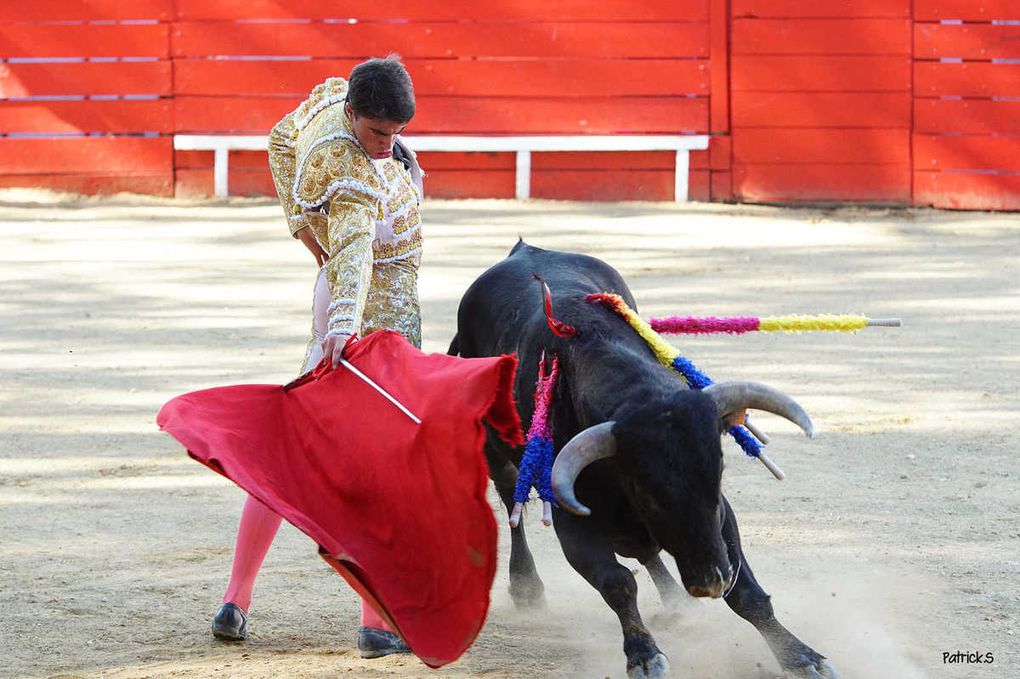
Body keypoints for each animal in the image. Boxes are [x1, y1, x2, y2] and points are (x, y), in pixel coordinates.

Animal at [448, 243, 836, 676]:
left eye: (718, 474)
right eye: (649, 493)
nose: (711, 581)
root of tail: (523, 249)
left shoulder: (720, 516)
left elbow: (747, 593)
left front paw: (800, 656)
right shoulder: (573, 525)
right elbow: (618, 584)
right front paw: (644, 654)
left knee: (646, 552)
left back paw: (678, 603)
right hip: (496, 449)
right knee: (509, 497)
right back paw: (527, 587)